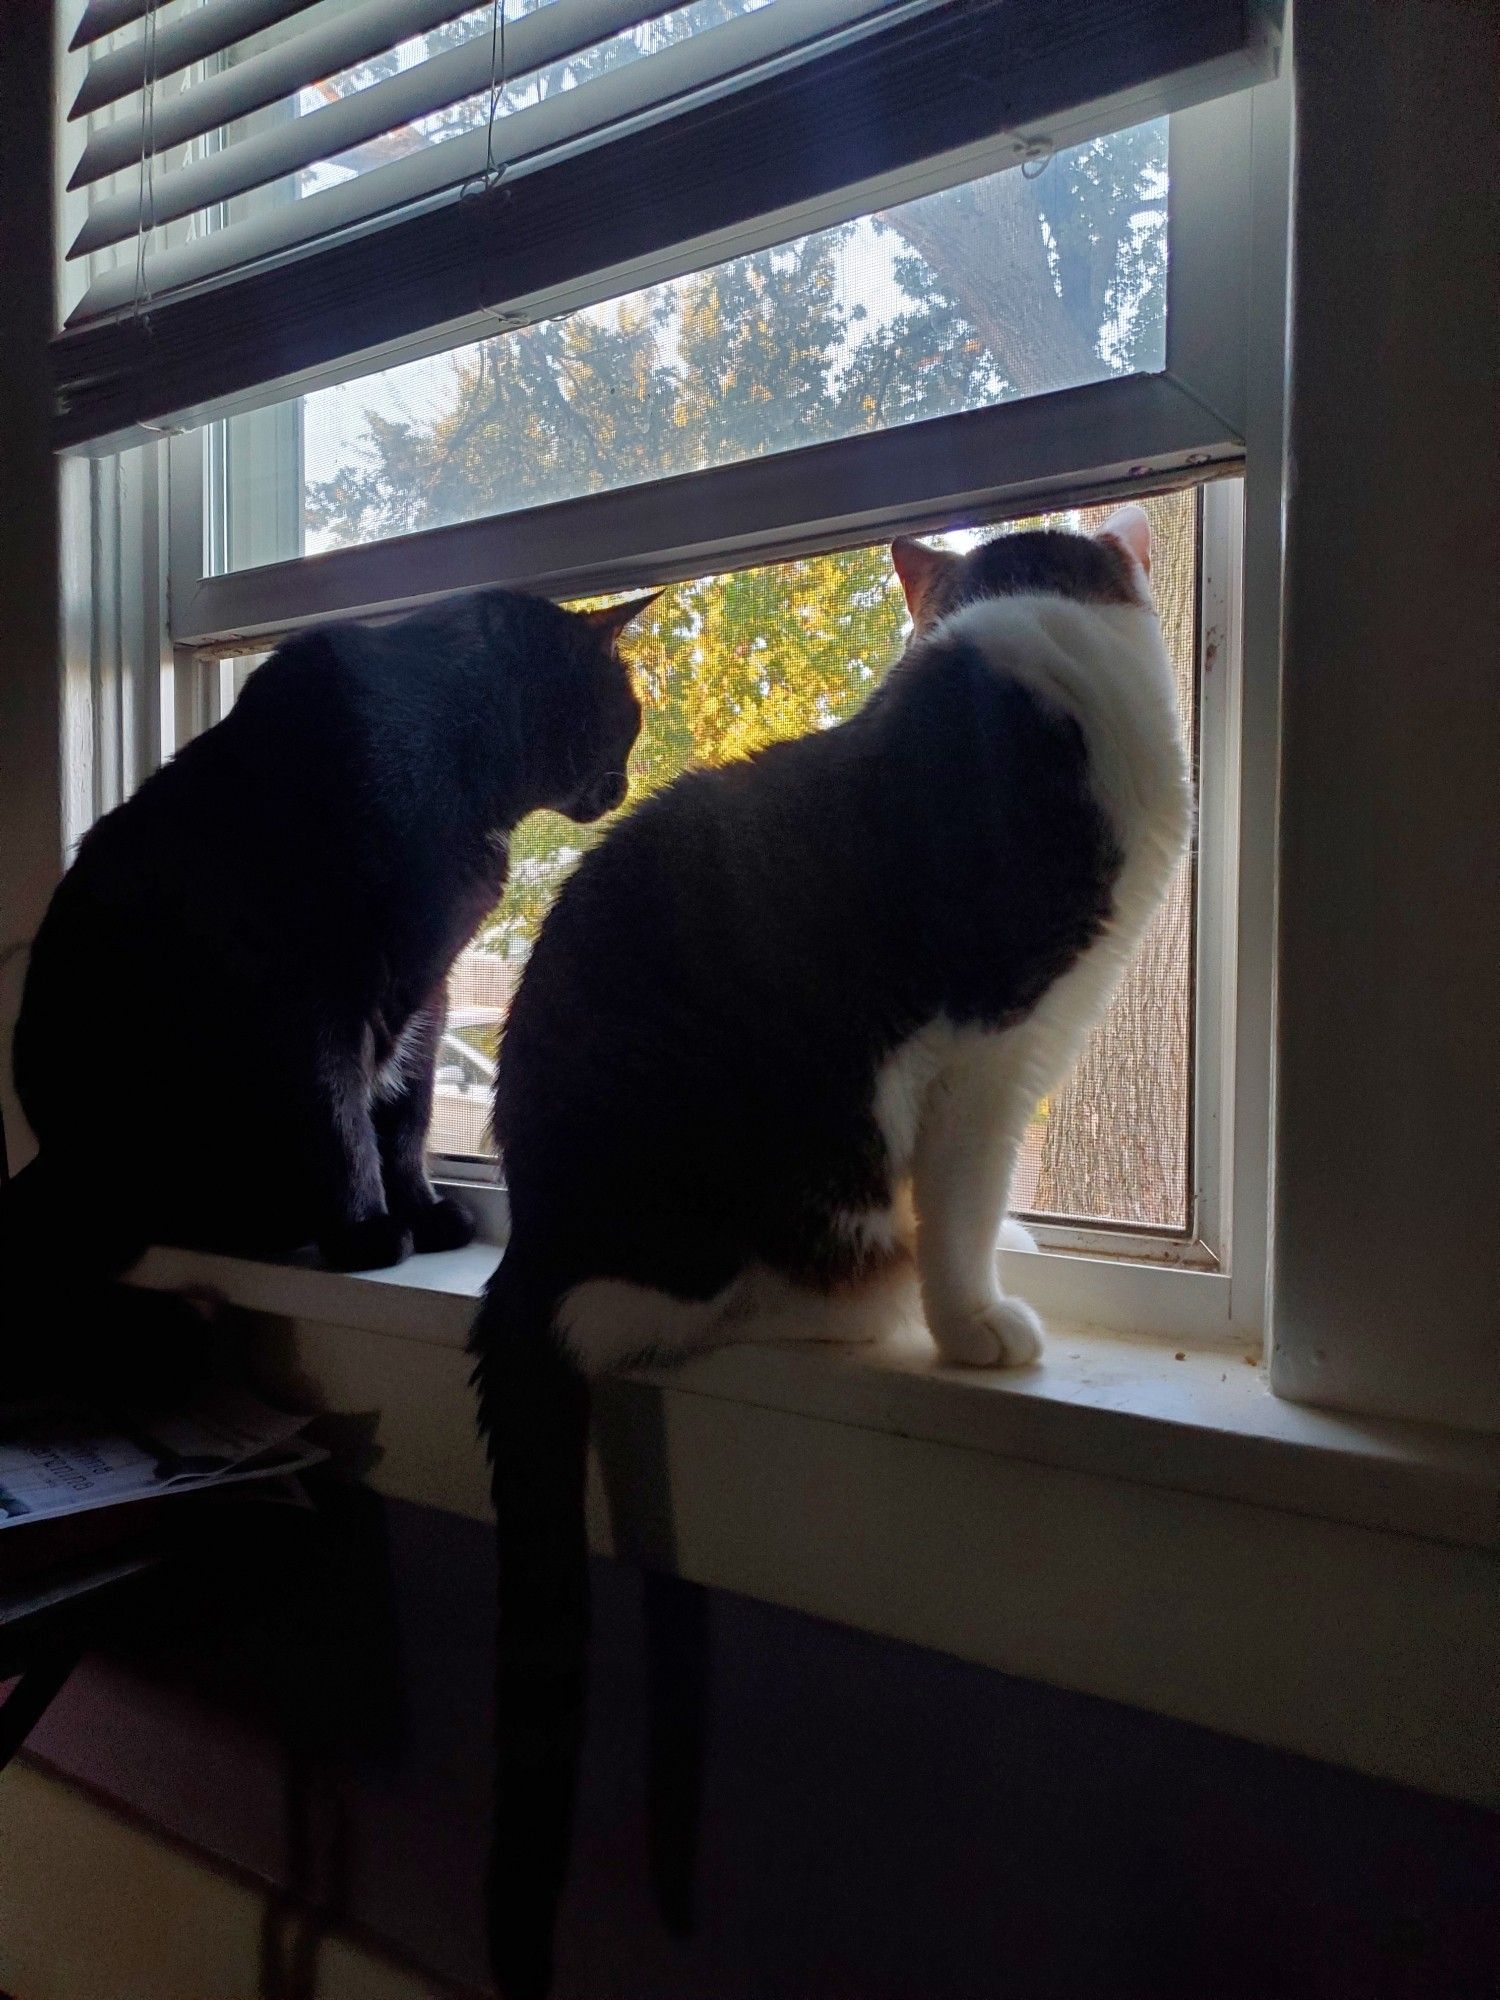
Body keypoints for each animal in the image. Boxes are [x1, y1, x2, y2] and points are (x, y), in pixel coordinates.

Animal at [5, 588, 652, 1280]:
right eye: (633, 719)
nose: (625, 789)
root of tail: (53, 1161)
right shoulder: (319, 1001)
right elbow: (340, 1121)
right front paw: (364, 1232)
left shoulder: (427, 996)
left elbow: (406, 1118)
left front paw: (421, 1212)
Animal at [476, 508, 1192, 1992]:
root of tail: (532, 1239)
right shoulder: (993, 1045)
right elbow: (964, 1192)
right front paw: (976, 1320)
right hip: (749, 1194)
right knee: (694, 1306)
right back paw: (865, 1299)